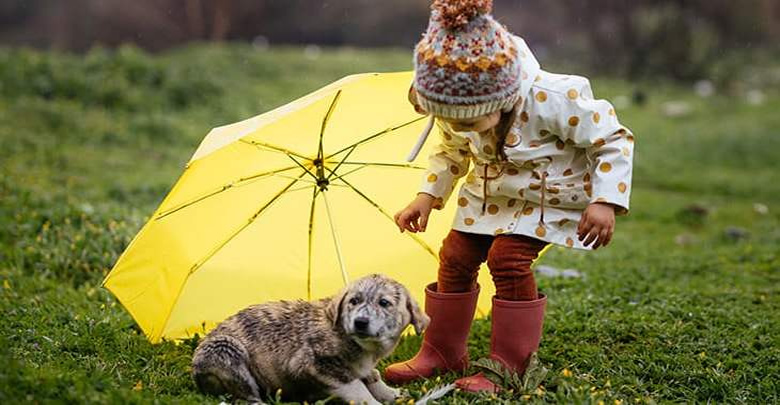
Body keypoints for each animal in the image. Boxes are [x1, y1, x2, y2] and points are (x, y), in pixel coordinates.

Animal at [192, 274, 430, 402]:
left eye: (384, 303)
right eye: (353, 301)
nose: (360, 322)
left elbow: (372, 376)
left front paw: (392, 394)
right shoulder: (313, 364)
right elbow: (356, 388)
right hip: (227, 350)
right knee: (247, 395)